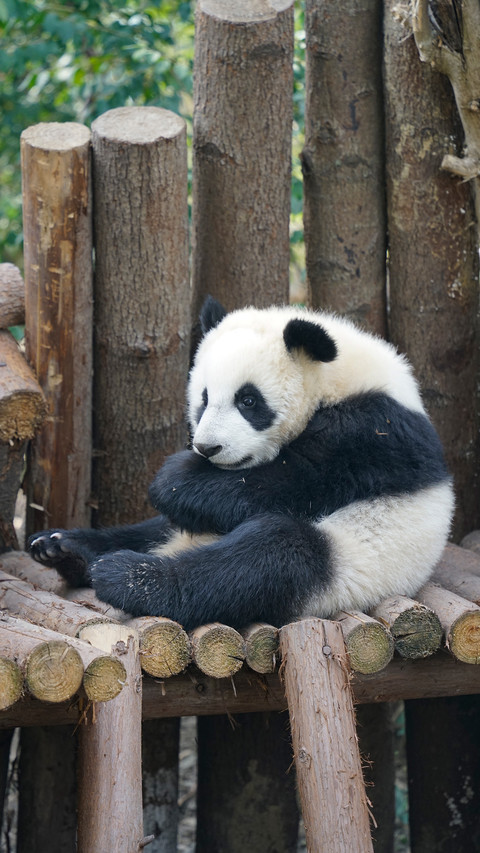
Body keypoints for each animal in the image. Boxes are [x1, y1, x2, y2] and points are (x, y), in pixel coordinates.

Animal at [28, 297, 454, 630]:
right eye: (203, 398)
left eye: (248, 401)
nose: (207, 448)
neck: (341, 377)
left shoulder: (372, 434)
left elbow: (288, 482)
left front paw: (175, 478)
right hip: (183, 532)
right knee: (153, 530)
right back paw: (64, 548)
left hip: (348, 562)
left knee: (268, 558)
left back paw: (126, 576)